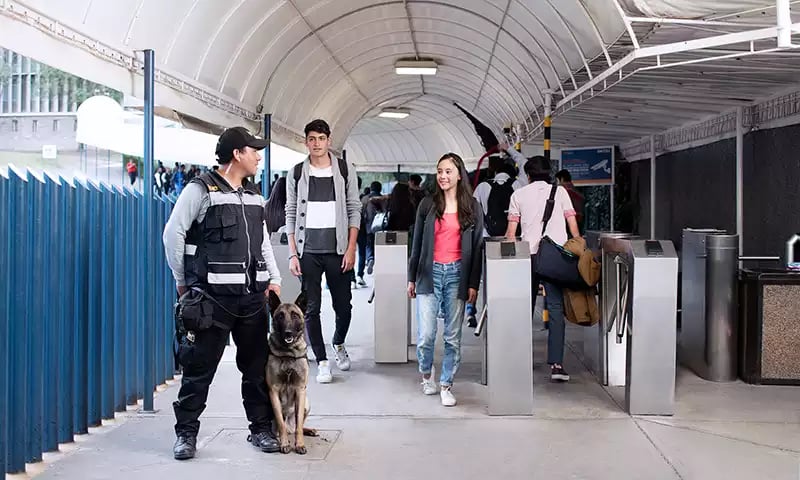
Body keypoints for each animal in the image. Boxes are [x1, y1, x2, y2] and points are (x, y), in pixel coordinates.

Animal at [268, 288, 318, 454]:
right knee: (283, 427)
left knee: (297, 425)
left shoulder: (300, 390)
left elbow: (299, 426)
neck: (288, 354)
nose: (288, 333)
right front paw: (284, 444)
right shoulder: (273, 391)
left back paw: (309, 430)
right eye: (280, 316)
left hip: (307, 403)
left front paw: (300, 444)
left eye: (295, 315)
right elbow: (280, 423)